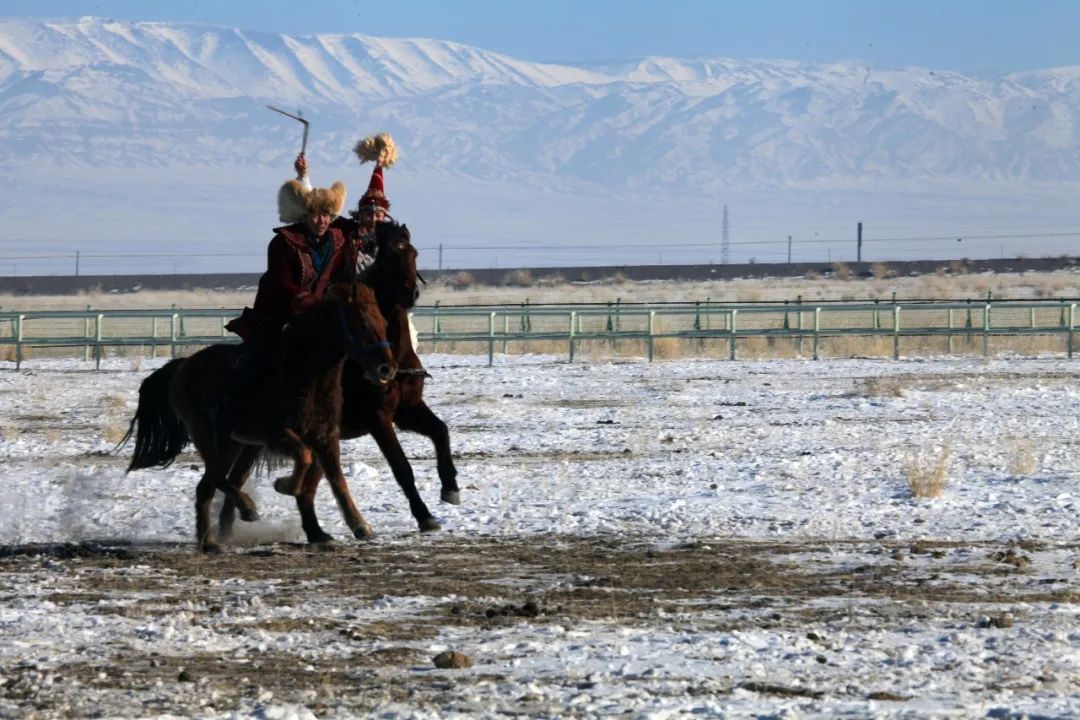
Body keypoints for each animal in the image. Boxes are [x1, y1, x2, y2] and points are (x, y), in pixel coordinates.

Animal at [125, 280, 397, 552]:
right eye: (361, 322)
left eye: (383, 321)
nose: (387, 369)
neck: (304, 374)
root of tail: (182, 366)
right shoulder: (277, 435)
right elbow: (305, 457)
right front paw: (284, 485)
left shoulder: (325, 436)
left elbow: (337, 480)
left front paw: (359, 525)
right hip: (208, 435)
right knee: (215, 476)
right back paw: (244, 512)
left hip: (234, 443)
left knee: (208, 484)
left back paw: (210, 541)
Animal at [217, 222, 457, 544]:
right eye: (388, 255)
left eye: (413, 253)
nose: (411, 293)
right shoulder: (378, 418)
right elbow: (401, 467)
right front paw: (425, 515)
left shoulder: (408, 409)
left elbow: (441, 431)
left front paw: (450, 488)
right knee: (241, 476)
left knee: (288, 486)